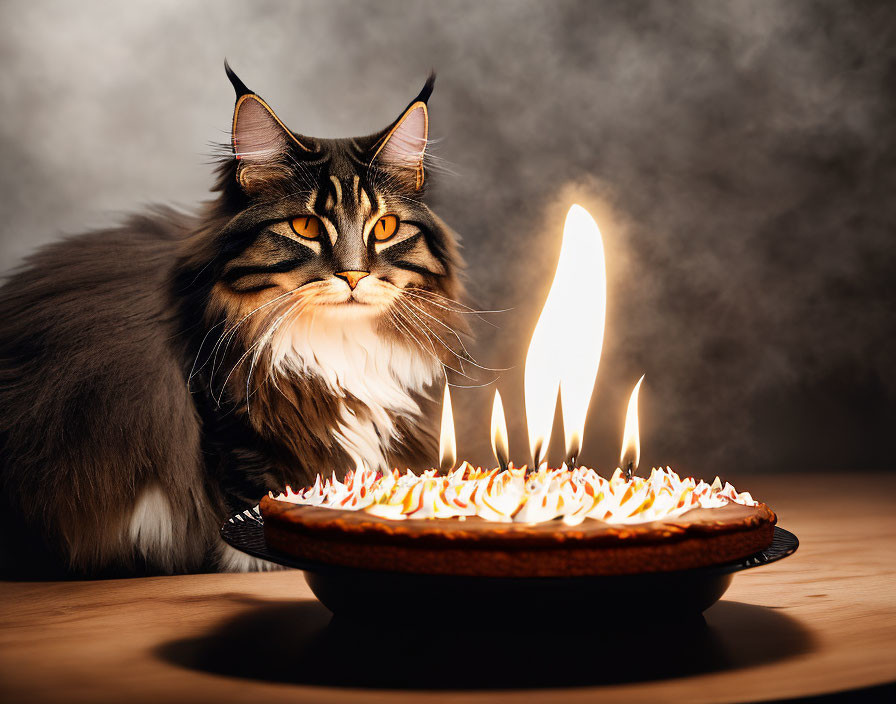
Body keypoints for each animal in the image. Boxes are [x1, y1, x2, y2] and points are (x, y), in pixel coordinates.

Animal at [0, 63, 462, 576]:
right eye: (305, 227)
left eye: (384, 227)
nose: (354, 275)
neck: (334, 344)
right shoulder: (235, 434)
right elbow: (254, 519)